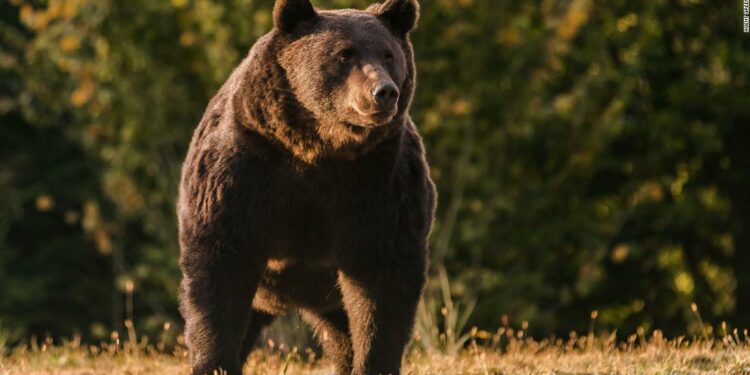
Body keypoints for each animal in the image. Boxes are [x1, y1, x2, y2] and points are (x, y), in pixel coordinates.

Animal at [177, 0, 434, 374]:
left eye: (389, 55)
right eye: (344, 54)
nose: (384, 91)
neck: (319, 146)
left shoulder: (380, 182)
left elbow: (382, 282)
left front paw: (373, 361)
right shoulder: (244, 169)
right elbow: (219, 269)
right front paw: (215, 362)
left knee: (342, 332)